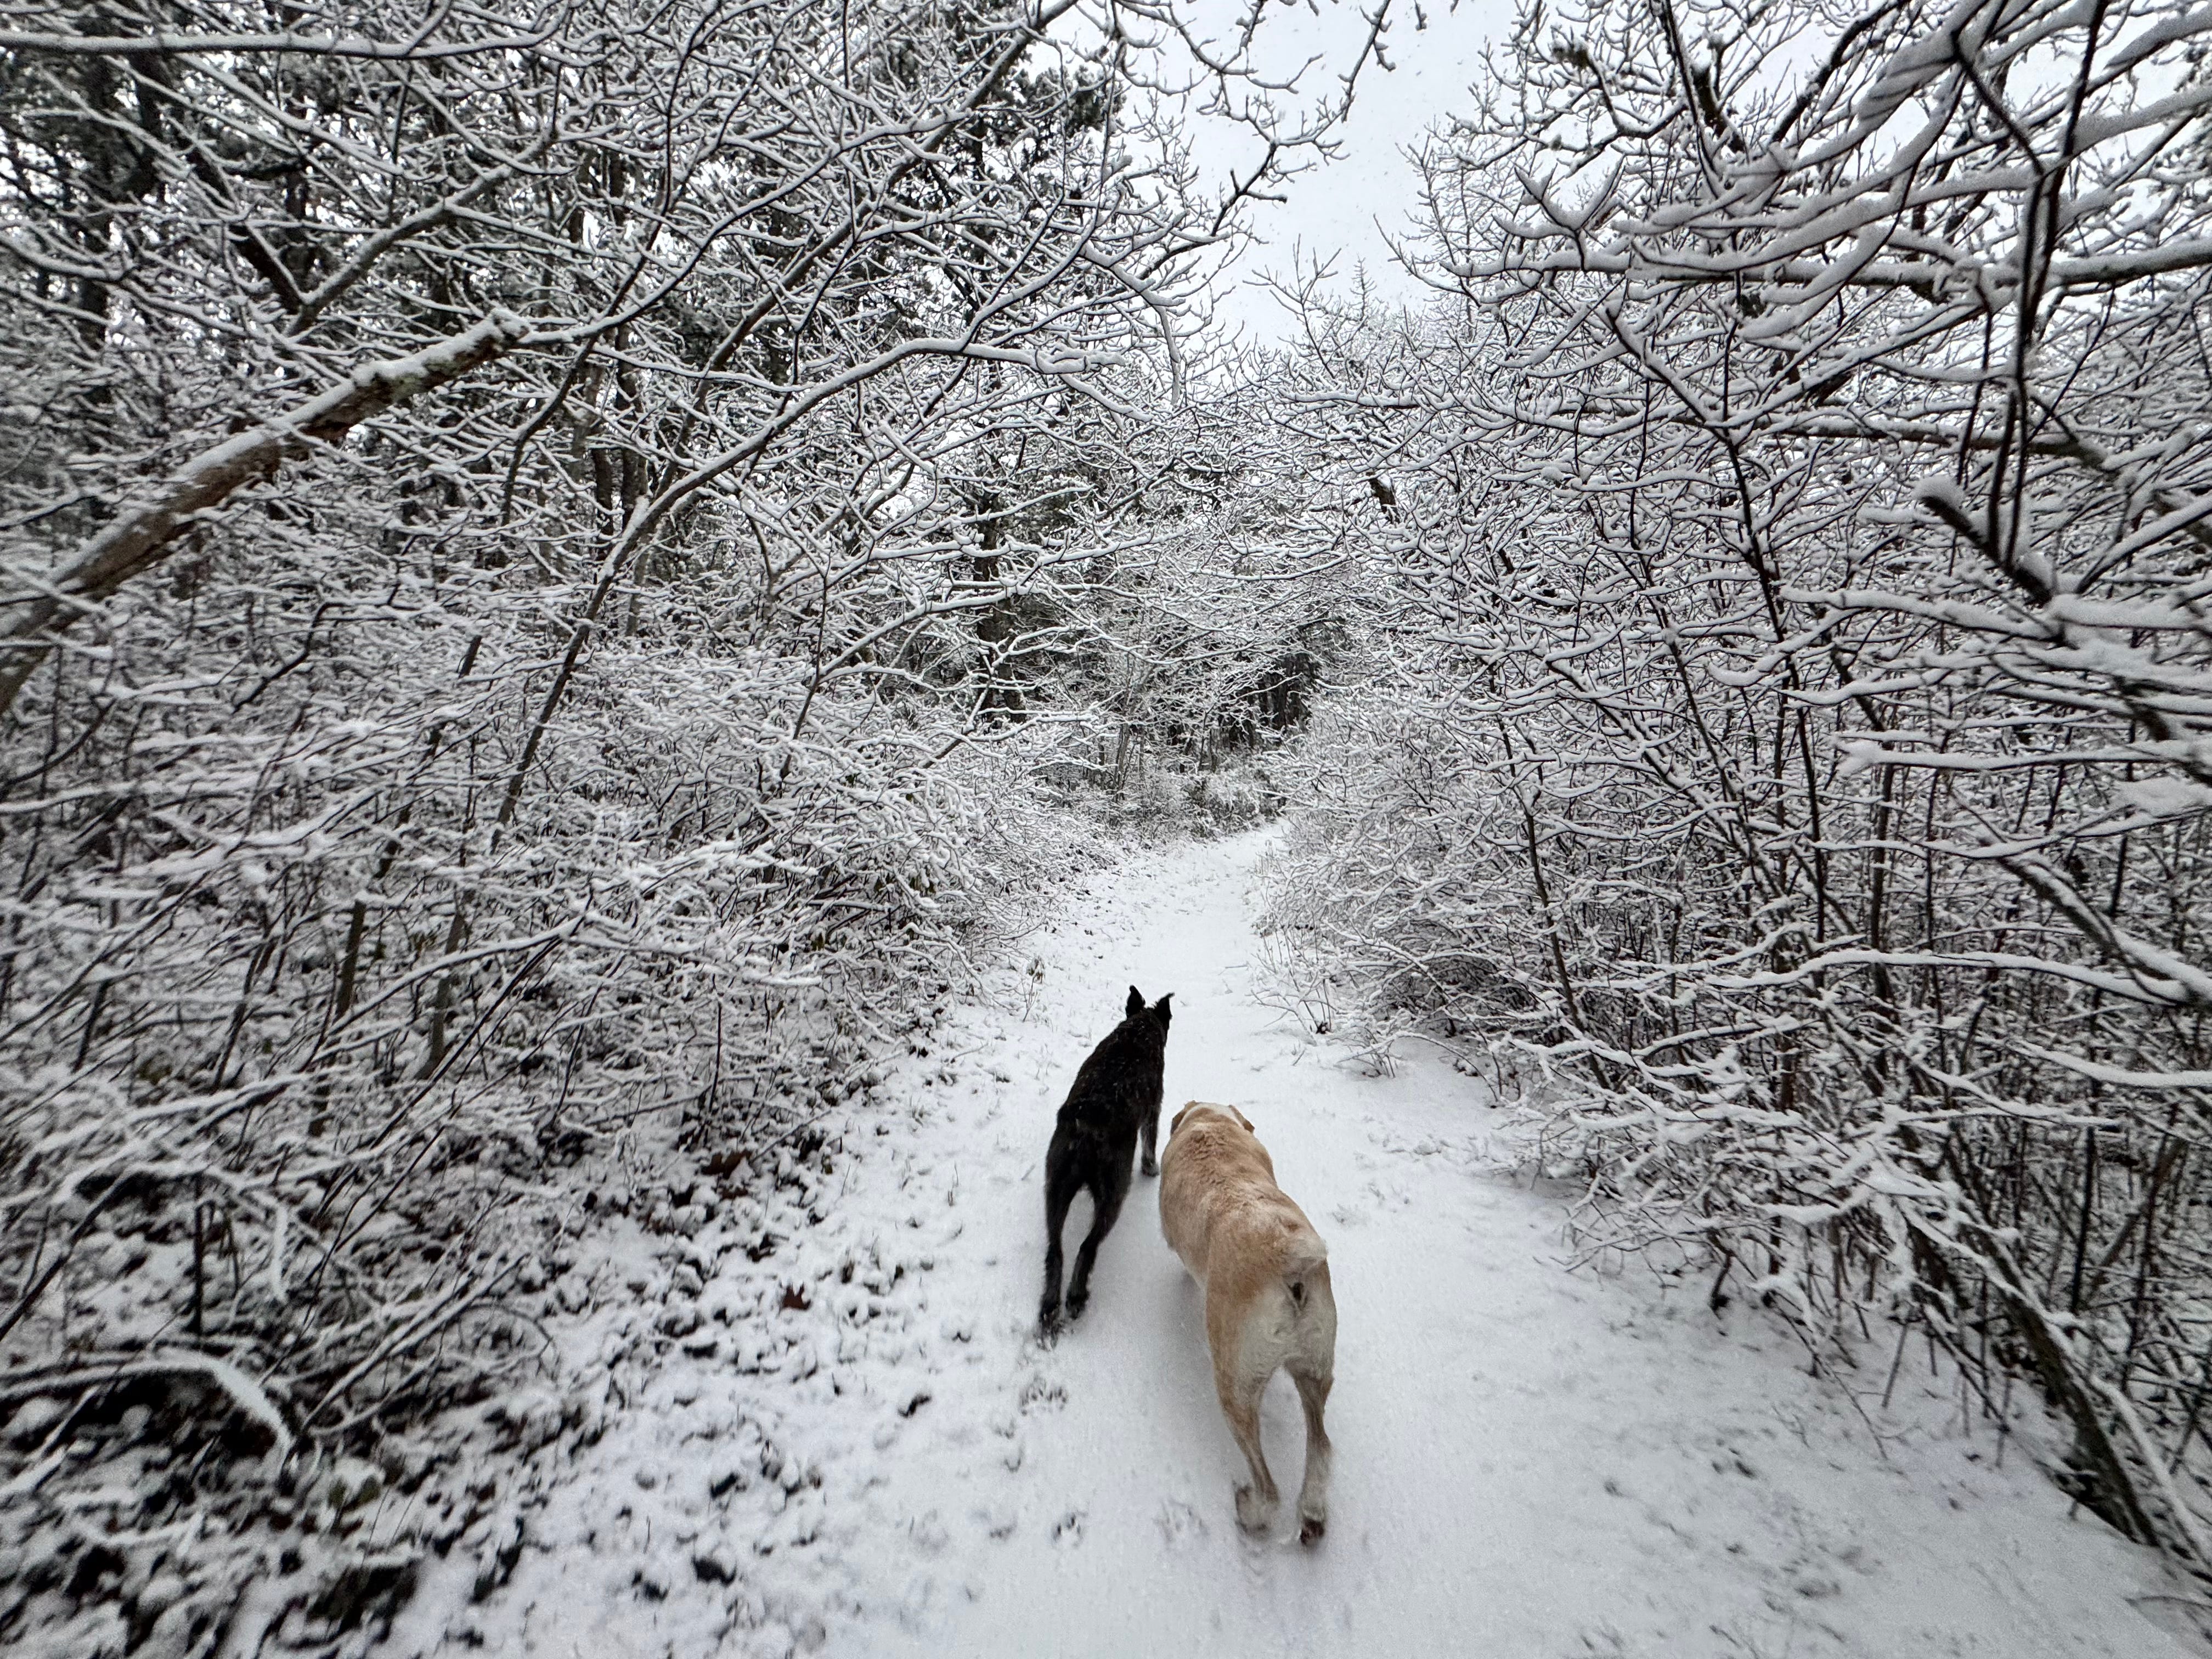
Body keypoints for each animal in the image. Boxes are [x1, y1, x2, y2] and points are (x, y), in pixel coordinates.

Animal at [1038, 985, 1172, 1335]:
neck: (1139, 1028)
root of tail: (1087, 1128)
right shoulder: (1153, 1109)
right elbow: (1150, 1144)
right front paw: (1152, 1169)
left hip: (1056, 1186)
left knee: (1055, 1249)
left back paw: (1049, 1307)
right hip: (1114, 1192)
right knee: (1088, 1246)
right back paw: (1076, 1296)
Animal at [1158, 1102, 1336, 1543]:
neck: (1211, 1124)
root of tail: (1289, 1262)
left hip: (1235, 1386)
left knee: (1270, 1488)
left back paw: (1251, 1513)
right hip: (1316, 1367)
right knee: (1322, 1446)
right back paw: (1312, 1515)